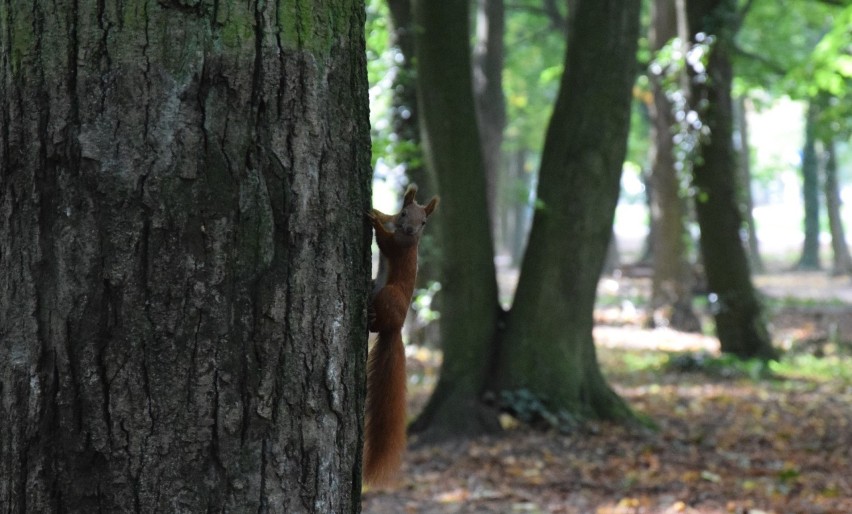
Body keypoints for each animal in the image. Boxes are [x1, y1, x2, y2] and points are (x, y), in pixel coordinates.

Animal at [362, 183, 440, 484]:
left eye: (425, 222)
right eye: (405, 212)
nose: (410, 230)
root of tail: (397, 328)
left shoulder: (399, 247)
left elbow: (386, 242)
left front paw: (374, 223)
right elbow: (388, 217)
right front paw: (377, 212)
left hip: (389, 296)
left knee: (377, 324)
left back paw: (371, 318)